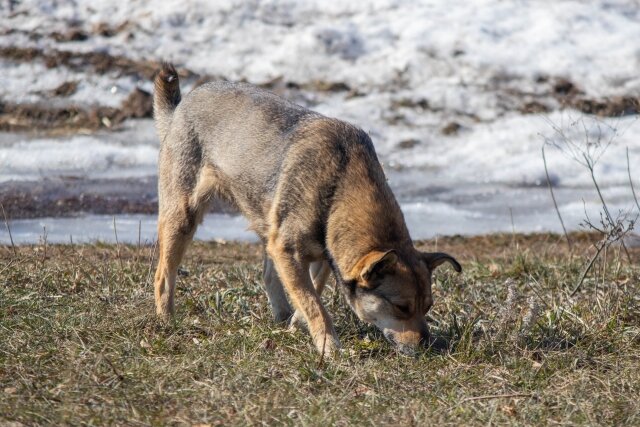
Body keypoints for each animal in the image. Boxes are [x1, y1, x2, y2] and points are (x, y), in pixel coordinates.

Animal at [152, 63, 460, 358]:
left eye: (428, 306)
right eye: (401, 307)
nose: (428, 347)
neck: (339, 186)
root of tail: (180, 108)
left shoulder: (324, 255)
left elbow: (313, 290)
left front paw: (298, 323)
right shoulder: (287, 250)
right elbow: (315, 304)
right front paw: (328, 345)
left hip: (267, 223)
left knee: (269, 275)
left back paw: (281, 317)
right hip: (182, 215)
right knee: (163, 276)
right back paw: (166, 321)